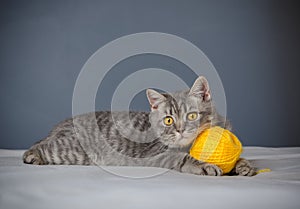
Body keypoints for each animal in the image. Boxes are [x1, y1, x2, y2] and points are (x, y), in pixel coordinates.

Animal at [22, 76, 255, 176]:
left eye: (191, 115)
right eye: (168, 120)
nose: (180, 130)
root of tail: (61, 125)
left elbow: (240, 158)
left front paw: (244, 165)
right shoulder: (158, 155)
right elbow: (183, 158)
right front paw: (203, 165)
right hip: (71, 150)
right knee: (42, 146)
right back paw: (33, 155)